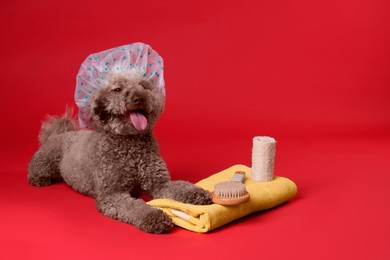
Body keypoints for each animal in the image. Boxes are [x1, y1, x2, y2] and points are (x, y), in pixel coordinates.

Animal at [28, 72, 212, 234]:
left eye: (144, 86)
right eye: (117, 89)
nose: (139, 98)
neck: (130, 145)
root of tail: (58, 134)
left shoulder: (160, 183)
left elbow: (181, 187)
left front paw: (198, 194)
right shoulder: (112, 194)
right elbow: (135, 207)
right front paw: (154, 217)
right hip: (47, 161)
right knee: (34, 170)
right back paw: (39, 179)